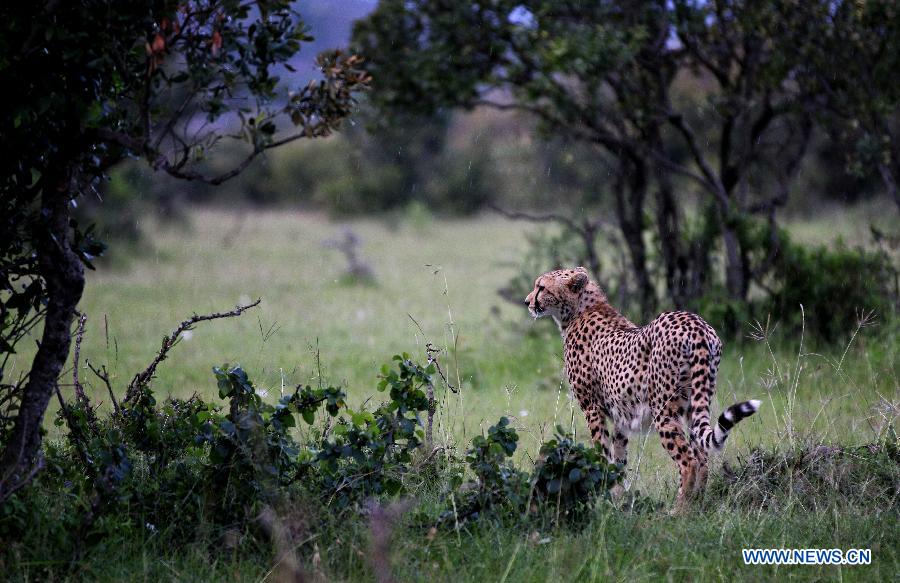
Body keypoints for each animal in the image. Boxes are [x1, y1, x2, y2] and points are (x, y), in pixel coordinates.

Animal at [528, 266, 760, 504]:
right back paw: (696, 504)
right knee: (702, 458)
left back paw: (679, 509)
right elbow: (618, 460)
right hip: (695, 405)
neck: (581, 310)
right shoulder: (621, 415)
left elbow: (602, 454)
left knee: (689, 461)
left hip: (663, 410)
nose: (527, 301)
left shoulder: (592, 408)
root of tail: (695, 323)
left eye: (541, 287)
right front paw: (618, 498)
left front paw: (602, 497)